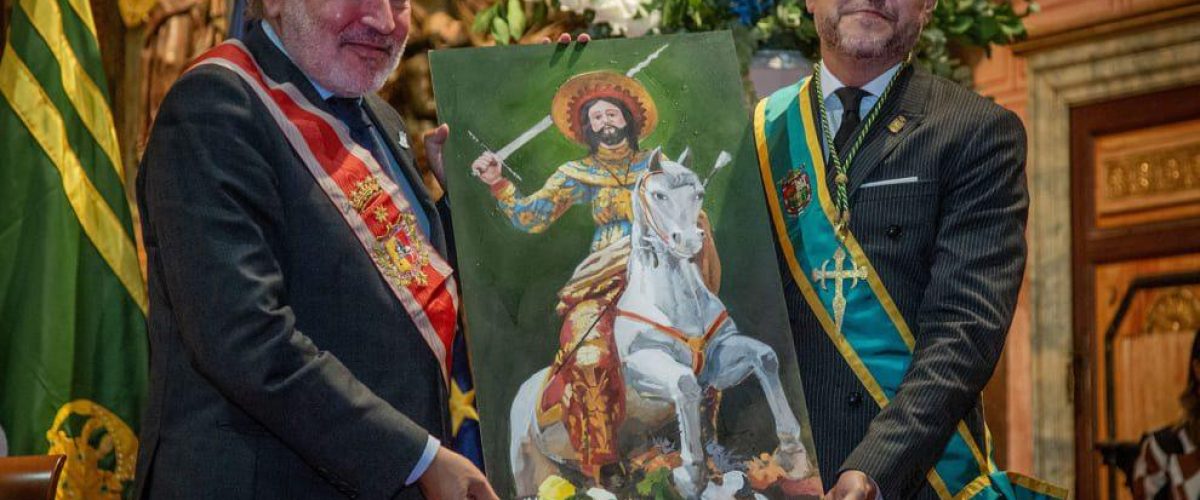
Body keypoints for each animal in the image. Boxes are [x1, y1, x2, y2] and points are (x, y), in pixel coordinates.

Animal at [506, 146, 806, 494]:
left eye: (699, 193)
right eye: (658, 195)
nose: (689, 240)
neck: (674, 304)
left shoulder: (717, 361)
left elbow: (766, 357)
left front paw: (792, 455)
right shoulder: (643, 366)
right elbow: (684, 384)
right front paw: (691, 474)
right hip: (530, 470)